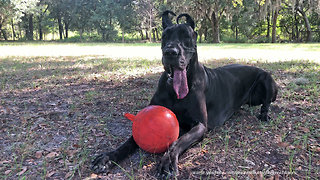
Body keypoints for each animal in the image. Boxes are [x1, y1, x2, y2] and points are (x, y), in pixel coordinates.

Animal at [92, 10, 278, 177]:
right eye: (164, 36)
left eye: (186, 36)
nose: (170, 52)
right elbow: (130, 140)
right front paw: (108, 157)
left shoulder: (200, 125)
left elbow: (178, 142)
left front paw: (168, 162)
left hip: (267, 78)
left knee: (267, 103)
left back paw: (264, 115)